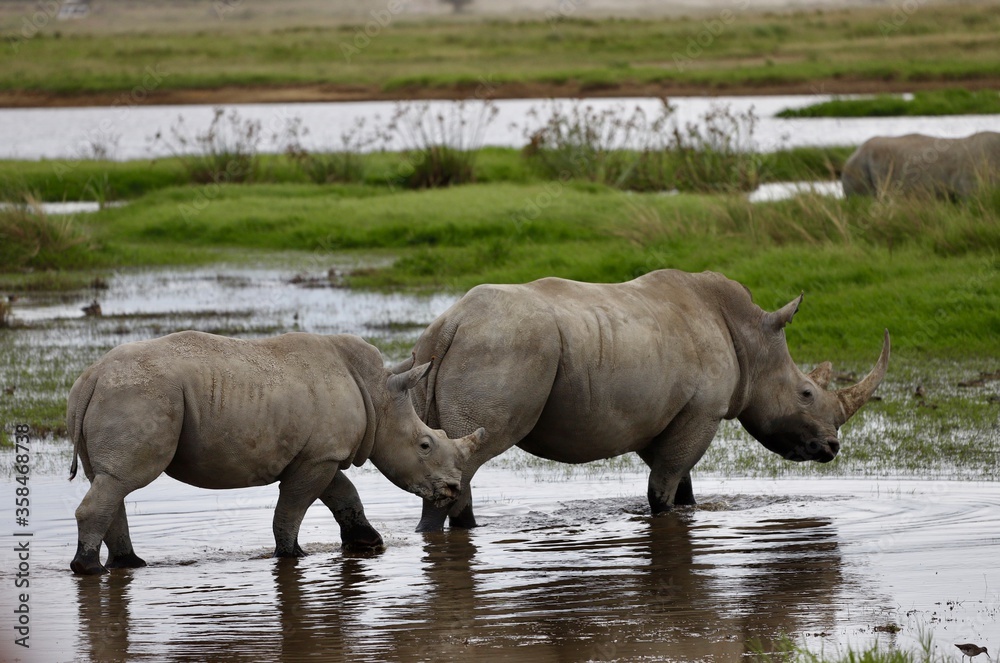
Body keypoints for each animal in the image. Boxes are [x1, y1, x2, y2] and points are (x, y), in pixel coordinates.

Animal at [66, 330, 485, 575]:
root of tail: (92, 378)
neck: (379, 395)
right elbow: (294, 507)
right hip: (140, 394)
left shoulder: (321, 454)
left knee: (109, 481)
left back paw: (128, 565)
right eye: (425, 445)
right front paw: (291, 554)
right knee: (123, 480)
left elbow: (344, 494)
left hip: (117, 394)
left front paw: (368, 543)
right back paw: (89, 569)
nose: (452, 488)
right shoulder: (319, 457)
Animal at [394, 269, 890, 531]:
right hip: (504, 348)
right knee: (465, 460)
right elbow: (664, 487)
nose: (831, 448)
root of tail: (451, 324)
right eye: (806, 394)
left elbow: (682, 483)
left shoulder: (669, 415)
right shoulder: (702, 412)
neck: (751, 339)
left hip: (438, 354)